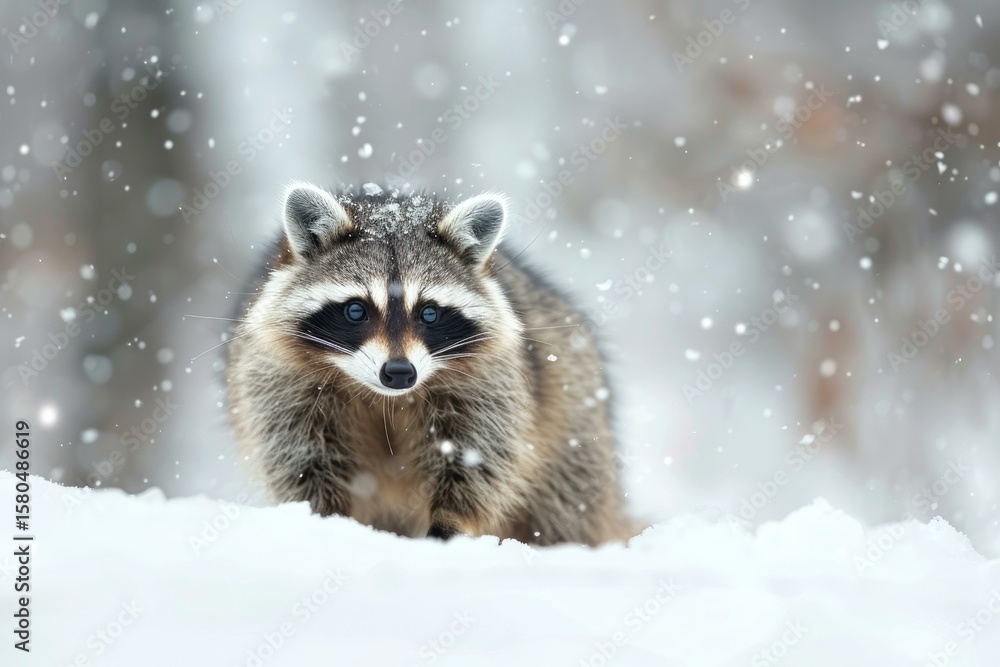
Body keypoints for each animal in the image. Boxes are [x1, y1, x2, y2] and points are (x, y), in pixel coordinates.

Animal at [227, 183, 638, 545]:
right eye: (356, 310)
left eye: (429, 313)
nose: (399, 373)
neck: (384, 399)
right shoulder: (280, 378)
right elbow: (300, 455)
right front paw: (323, 519)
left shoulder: (489, 378)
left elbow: (479, 455)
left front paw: (451, 520)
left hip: (575, 420)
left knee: (564, 502)